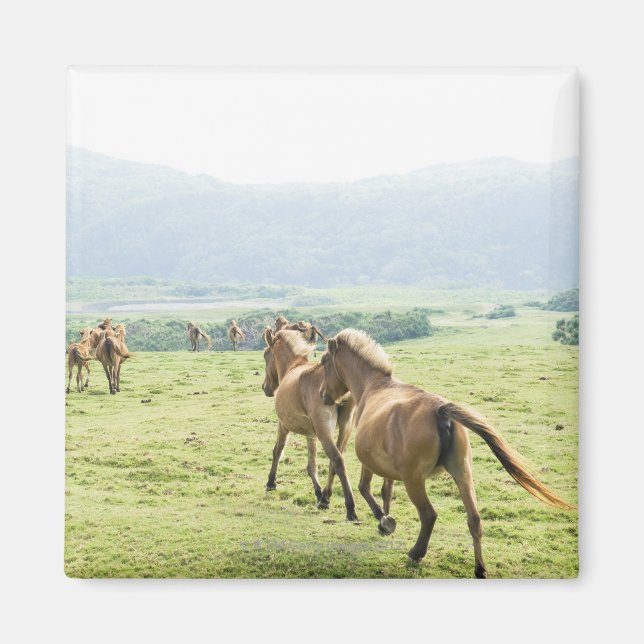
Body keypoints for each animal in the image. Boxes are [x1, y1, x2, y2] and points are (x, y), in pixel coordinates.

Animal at [262, 328, 358, 520]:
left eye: (265, 356)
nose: (265, 388)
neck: (293, 367)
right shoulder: (310, 433)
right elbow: (312, 466)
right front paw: (318, 492)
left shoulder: (283, 425)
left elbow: (277, 451)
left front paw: (271, 482)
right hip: (345, 428)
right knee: (335, 461)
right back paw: (325, 498)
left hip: (324, 431)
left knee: (337, 460)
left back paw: (350, 508)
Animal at [319, 329, 572, 577]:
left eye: (323, 361)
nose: (322, 395)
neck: (374, 386)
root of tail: (440, 410)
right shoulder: (388, 466)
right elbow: (386, 491)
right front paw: (385, 522)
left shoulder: (369, 461)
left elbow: (365, 488)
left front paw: (384, 521)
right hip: (462, 473)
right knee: (474, 520)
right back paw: (480, 569)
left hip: (414, 480)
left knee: (429, 515)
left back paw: (416, 553)